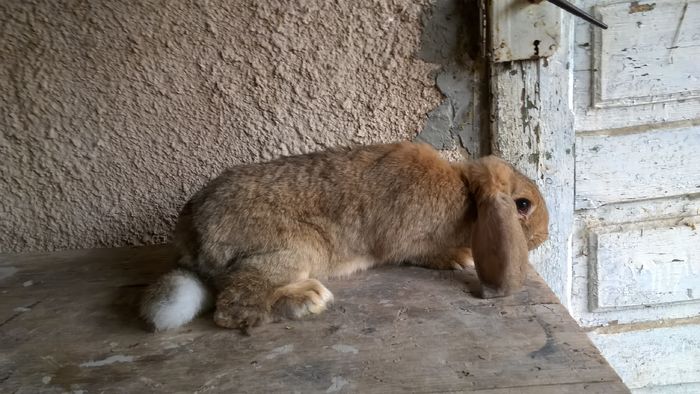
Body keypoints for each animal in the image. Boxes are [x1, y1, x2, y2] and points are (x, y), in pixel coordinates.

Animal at [139, 142, 548, 332]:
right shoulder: (409, 240)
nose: (544, 235)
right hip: (292, 251)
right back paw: (307, 300)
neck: (465, 192)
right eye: (522, 204)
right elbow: (420, 252)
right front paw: (458, 257)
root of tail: (191, 234)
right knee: (233, 307)